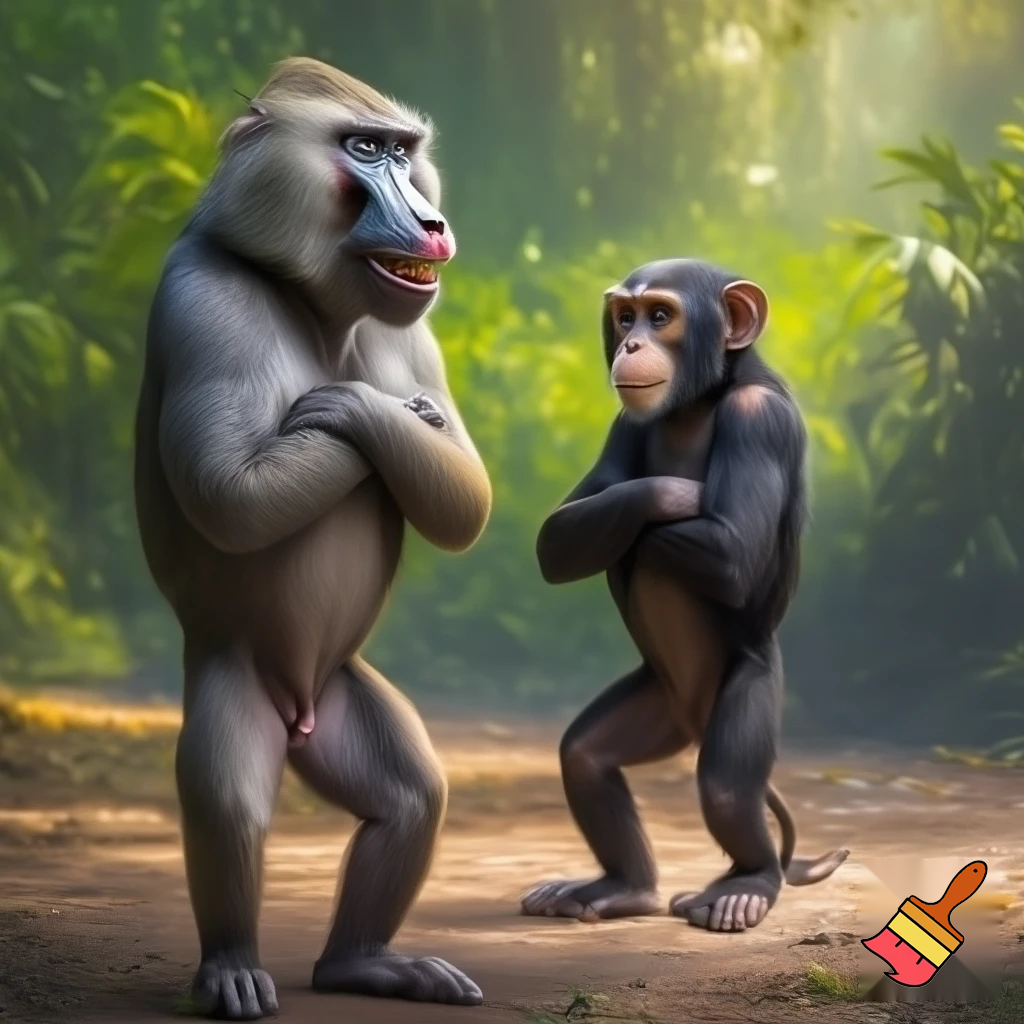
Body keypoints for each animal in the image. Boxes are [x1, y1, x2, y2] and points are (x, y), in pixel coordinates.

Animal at [133, 58, 492, 1018]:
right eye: (363, 149)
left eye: (404, 153)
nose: (433, 223)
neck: (311, 300)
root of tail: (298, 705)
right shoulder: (206, 298)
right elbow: (230, 494)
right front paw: (354, 411)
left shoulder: (412, 336)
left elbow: (464, 495)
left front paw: (374, 411)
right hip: (232, 677)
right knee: (227, 804)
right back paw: (229, 967)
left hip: (343, 700)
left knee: (410, 798)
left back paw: (363, 963)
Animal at [520, 259, 848, 933]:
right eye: (625, 317)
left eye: (661, 316)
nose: (630, 345)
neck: (701, 400)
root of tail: (693, 719)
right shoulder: (624, 425)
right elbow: (558, 537)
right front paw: (665, 494)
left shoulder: (757, 418)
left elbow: (734, 552)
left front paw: (680, 498)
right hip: (660, 706)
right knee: (585, 755)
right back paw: (620, 888)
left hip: (748, 686)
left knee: (726, 788)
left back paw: (746, 886)